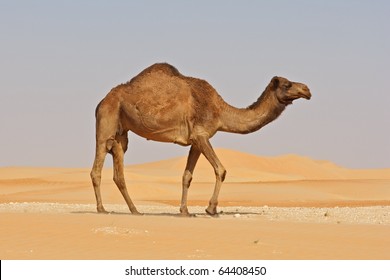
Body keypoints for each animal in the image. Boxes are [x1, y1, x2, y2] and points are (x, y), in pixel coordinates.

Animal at [90, 63, 310, 215]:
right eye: (288, 84)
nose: (307, 90)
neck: (219, 110)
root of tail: (101, 101)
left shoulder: (195, 141)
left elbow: (187, 176)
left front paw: (185, 211)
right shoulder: (201, 135)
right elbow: (221, 169)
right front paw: (211, 209)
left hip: (121, 133)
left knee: (119, 171)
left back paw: (135, 210)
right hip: (107, 120)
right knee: (97, 167)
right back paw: (102, 209)